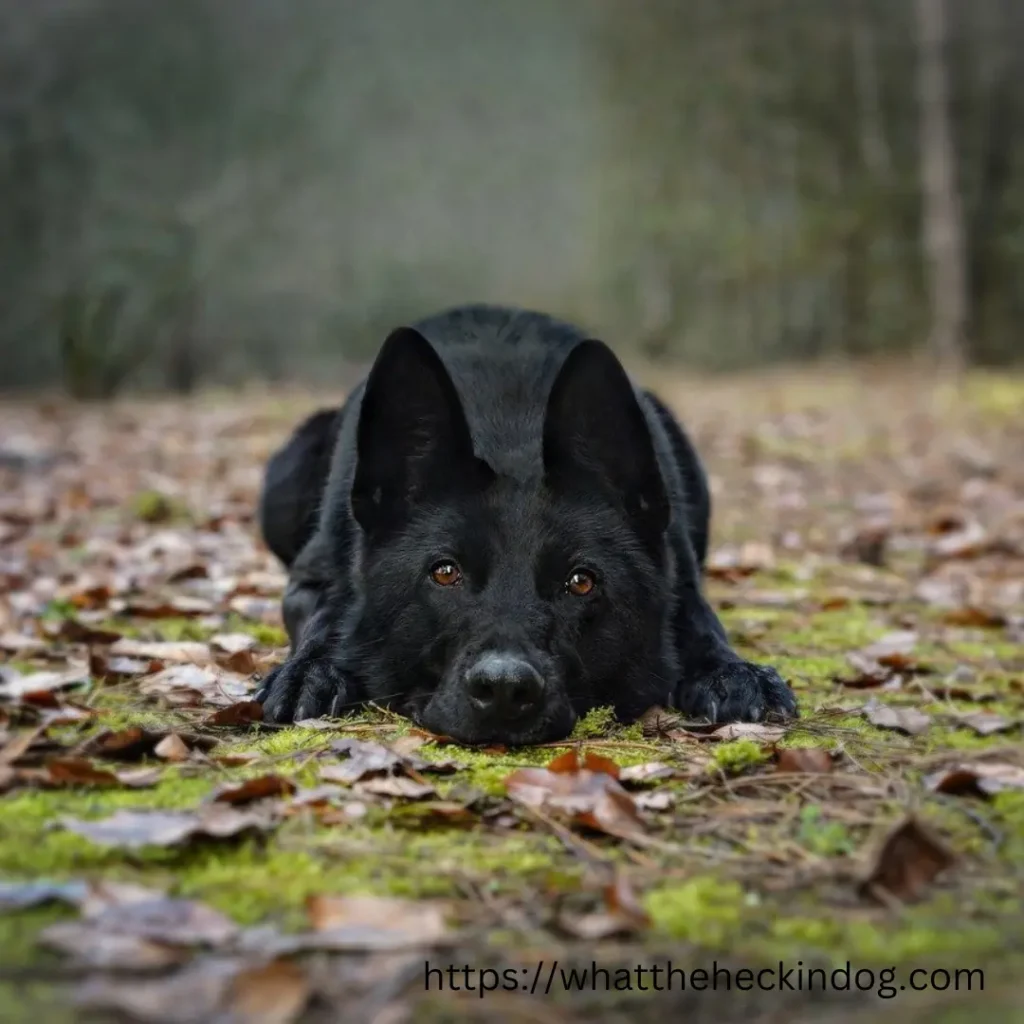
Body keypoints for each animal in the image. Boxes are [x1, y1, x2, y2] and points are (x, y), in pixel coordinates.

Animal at [256, 303, 798, 745]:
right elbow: (327, 614)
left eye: (581, 582)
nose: (503, 690)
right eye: (444, 572)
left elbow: (700, 620)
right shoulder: (310, 582)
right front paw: (311, 670)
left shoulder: (678, 577)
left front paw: (731, 671)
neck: (508, 436)